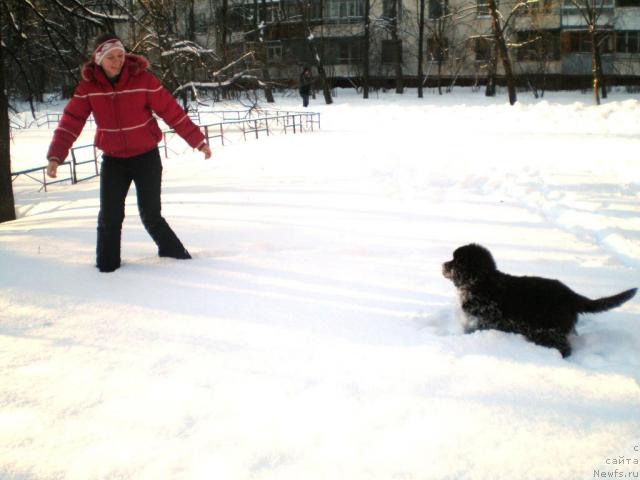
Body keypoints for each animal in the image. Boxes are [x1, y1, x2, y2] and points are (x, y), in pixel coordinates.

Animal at [442, 244, 636, 356]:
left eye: (456, 261)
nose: (443, 265)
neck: (481, 282)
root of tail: (570, 295)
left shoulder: (485, 318)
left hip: (548, 329)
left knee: (563, 347)